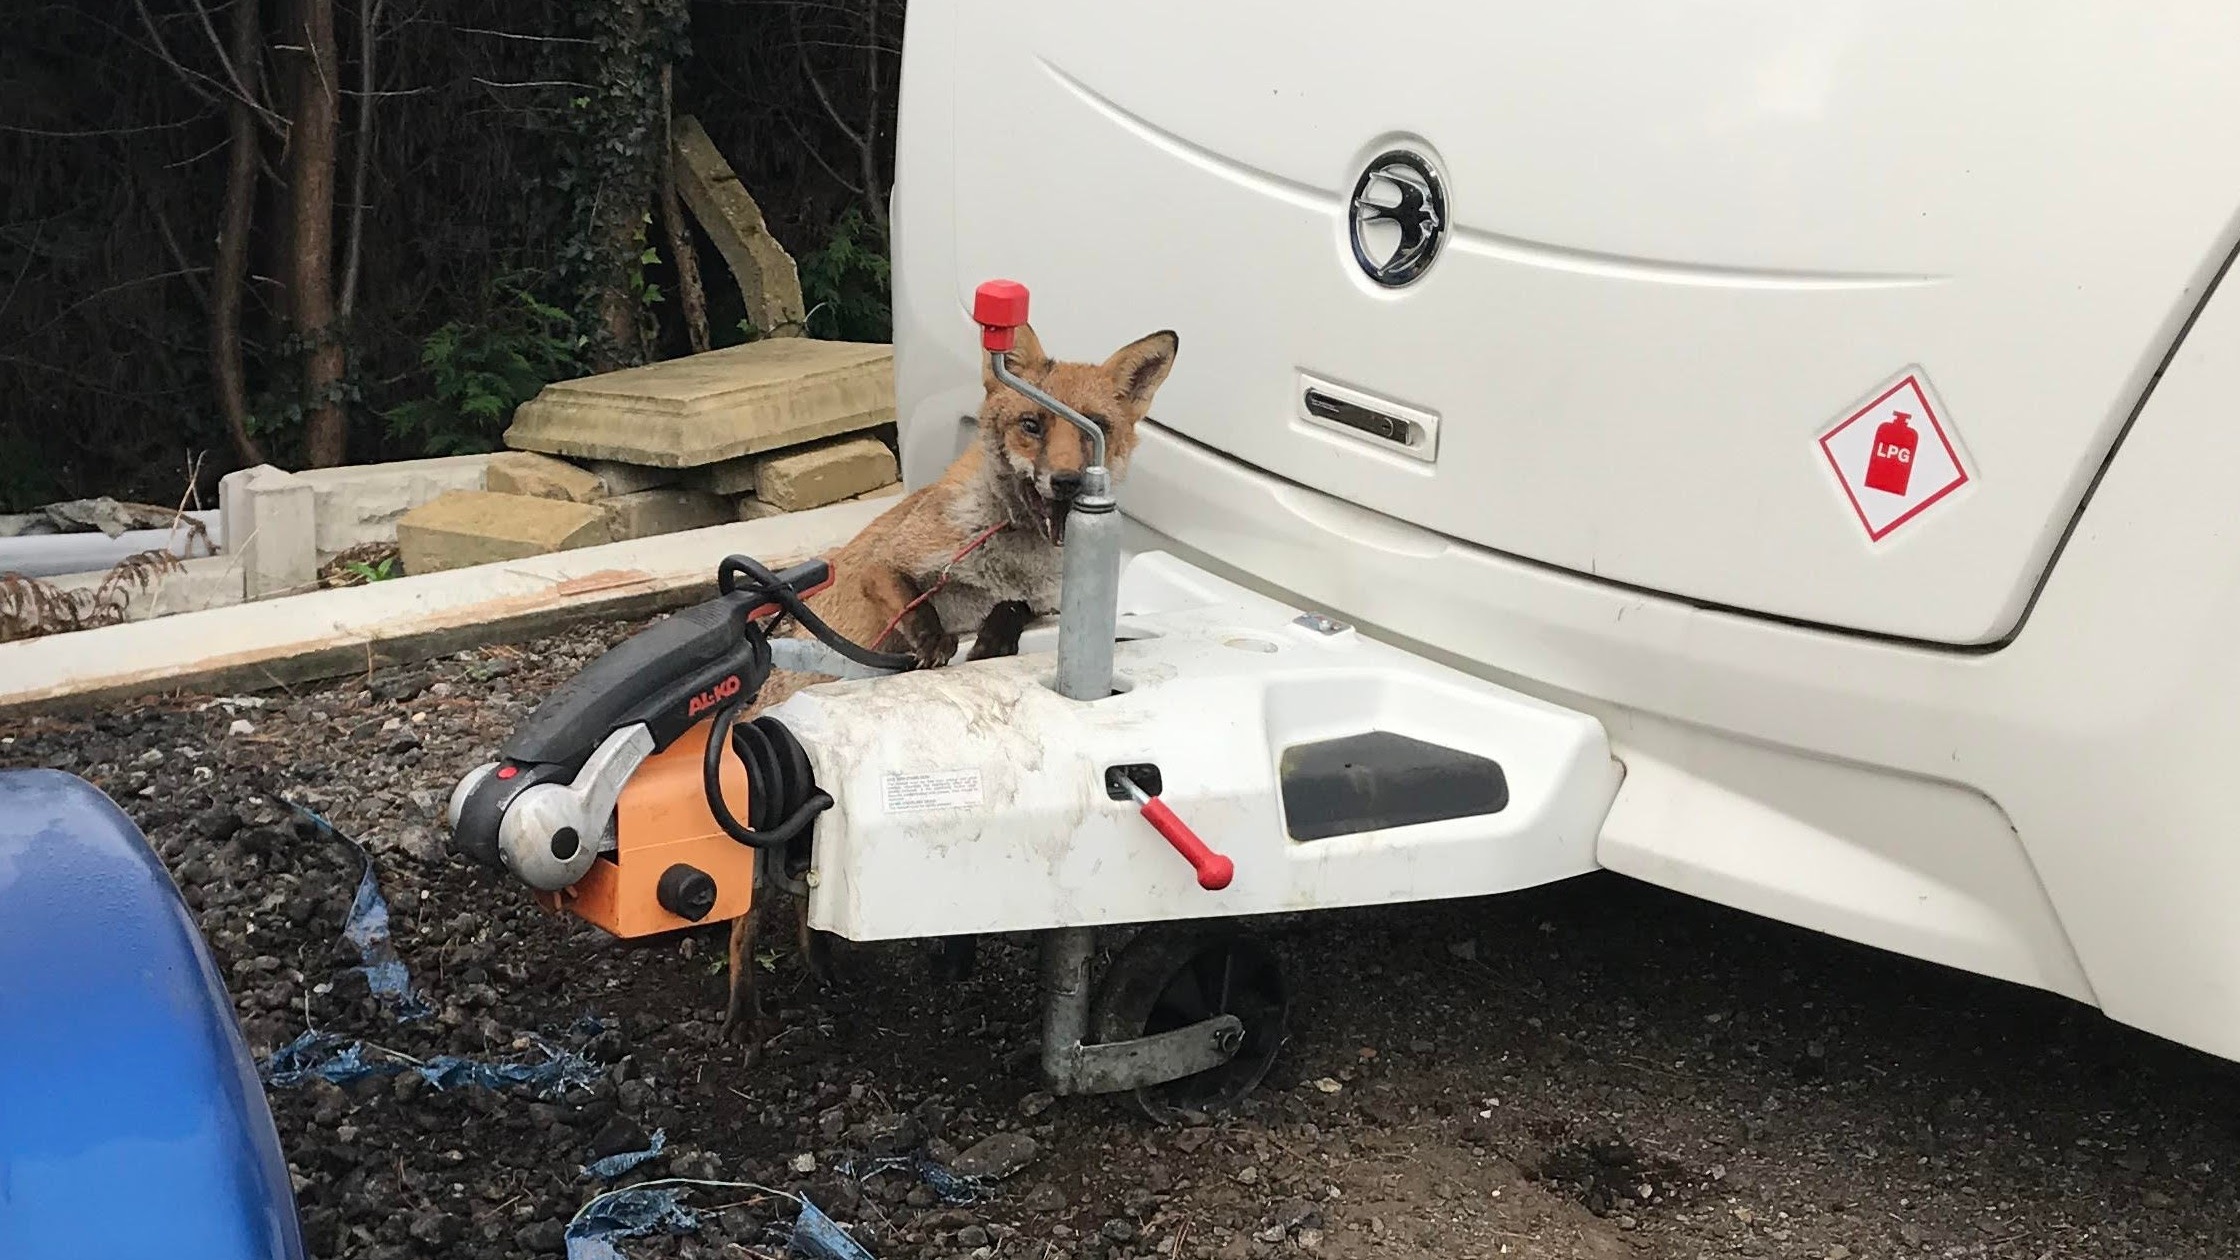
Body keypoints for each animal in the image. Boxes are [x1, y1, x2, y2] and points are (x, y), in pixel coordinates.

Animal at [719, 321, 1180, 1047]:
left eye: (1096, 430)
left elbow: (1007, 618)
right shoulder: (883, 565)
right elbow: (917, 606)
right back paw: (742, 1008)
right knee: (743, 925)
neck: (1011, 554)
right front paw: (932, 644)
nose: (1067, 483)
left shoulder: (1037, 606)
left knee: (806, 908)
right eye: (1031, 424)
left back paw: (822, 966)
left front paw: (986, 638)